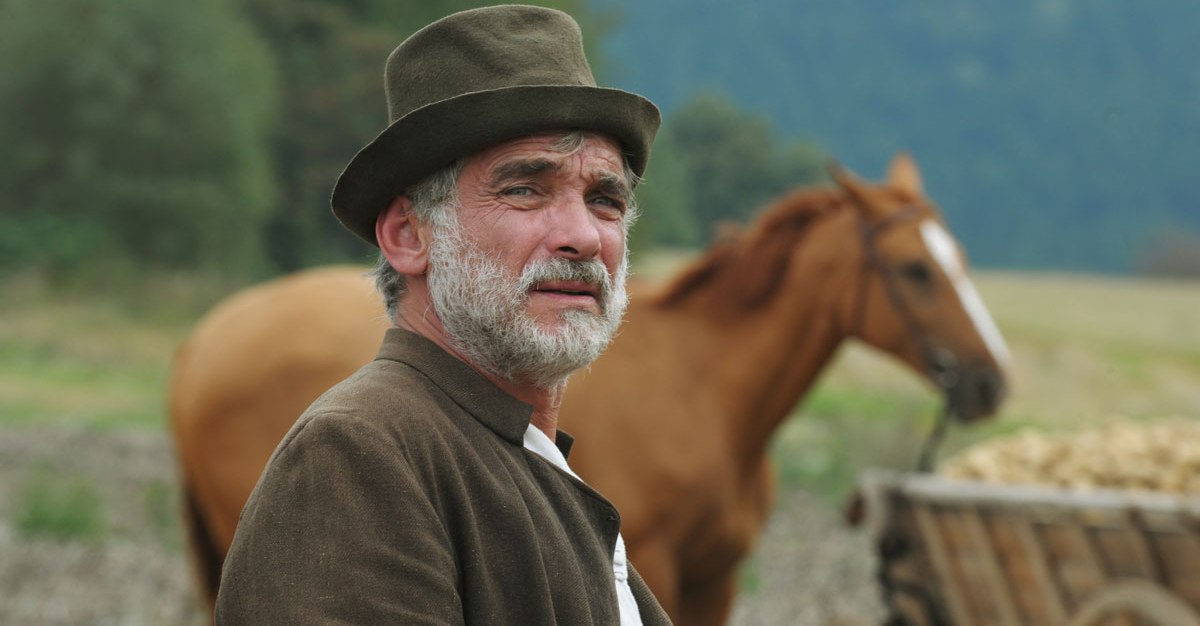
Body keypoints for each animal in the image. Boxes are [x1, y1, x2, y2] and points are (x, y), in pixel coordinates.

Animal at [168, 153, 1009, 625]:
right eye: (915, 271)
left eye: (961, 258)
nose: (991, 382)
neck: (703, 387)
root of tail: (203, 342)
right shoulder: (663, 560)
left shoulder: (715, 579)